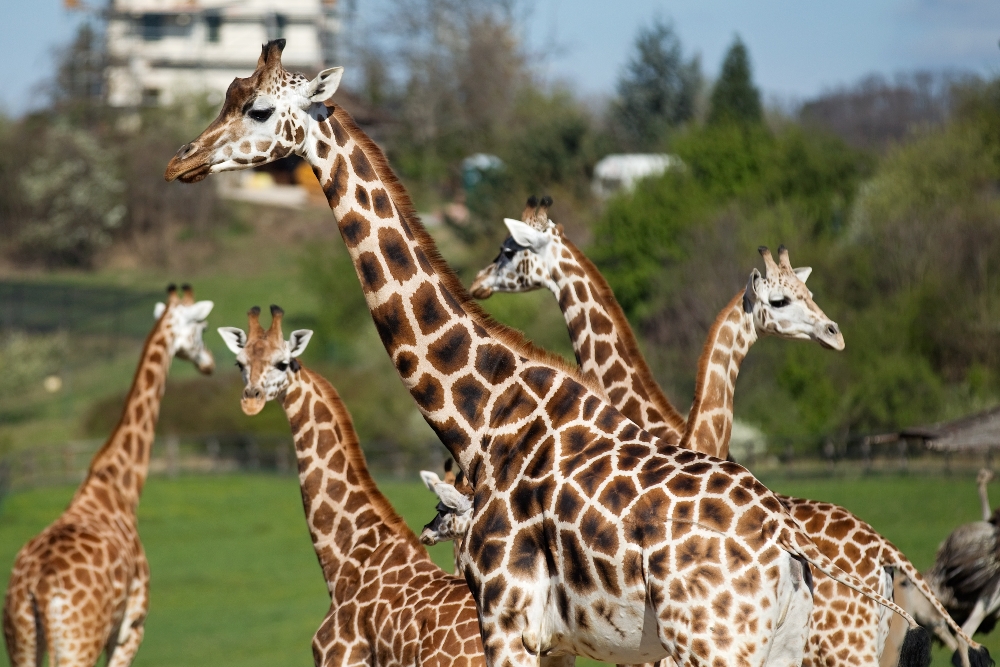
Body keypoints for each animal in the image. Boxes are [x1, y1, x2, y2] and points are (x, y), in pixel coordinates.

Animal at [2, 284, 214, 667]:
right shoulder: (131, 626)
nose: (209, 363)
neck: (119, 485)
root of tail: (38, 588)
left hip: (21, 639)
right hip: (78, 644)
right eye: (202, 327)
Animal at [166, 39, 928, 667]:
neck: (482, 416)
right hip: (779, 646)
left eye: (260, 109)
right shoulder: (558, 639)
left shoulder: (506, 614)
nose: (182, 160)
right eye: (224, 96)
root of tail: (789, 547)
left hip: (716, 642)